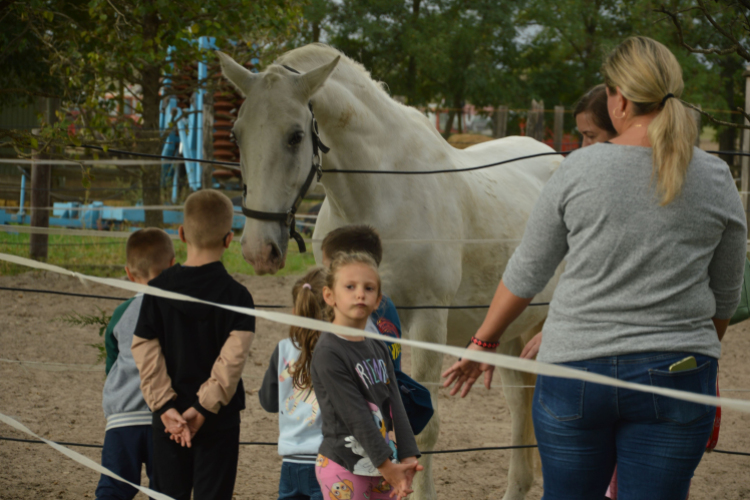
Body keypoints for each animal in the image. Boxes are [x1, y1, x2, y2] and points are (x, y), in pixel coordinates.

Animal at [220, 45, 560, 498]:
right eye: (237, 134)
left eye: (295, 136)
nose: (259, 250)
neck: (383, 194)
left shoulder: (429, 322)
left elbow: (425, 427)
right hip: (508, 336)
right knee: (521, 409)